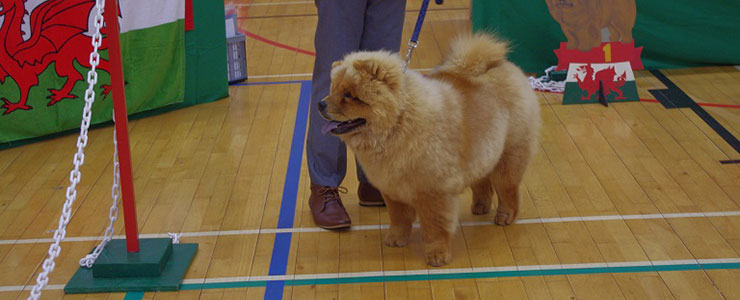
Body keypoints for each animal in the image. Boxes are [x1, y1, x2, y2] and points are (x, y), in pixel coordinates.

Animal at [316, 33, 536, 268]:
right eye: (333, 90)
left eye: (349, 95)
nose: (320, 104)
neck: (398, 123)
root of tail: (507, 66)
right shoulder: (392, 187)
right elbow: (399, 217)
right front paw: (396, 239)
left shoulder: (433, 192)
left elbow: (434, 227)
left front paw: (437, 255)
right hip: (484, 151)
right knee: (482, 181)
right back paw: (480, 206)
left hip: (510, 154)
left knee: (508, 189)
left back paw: (505, 217)